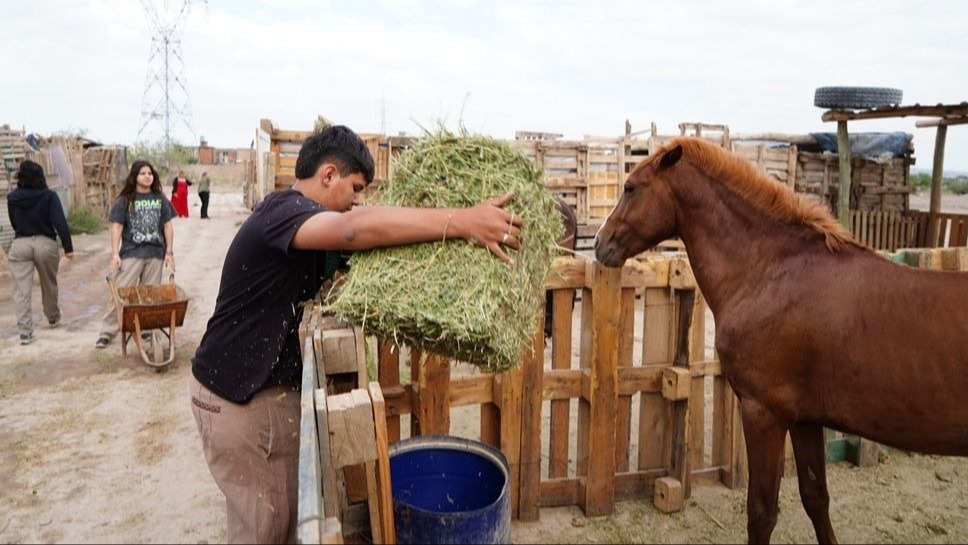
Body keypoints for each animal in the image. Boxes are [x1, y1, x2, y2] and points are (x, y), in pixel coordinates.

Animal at [593, 136, 968, 544]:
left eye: (631, 187)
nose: (599, 243)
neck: (771, 272)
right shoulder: (805, 419)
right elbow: (816, 497)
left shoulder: (764, 413)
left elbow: (762, 513)